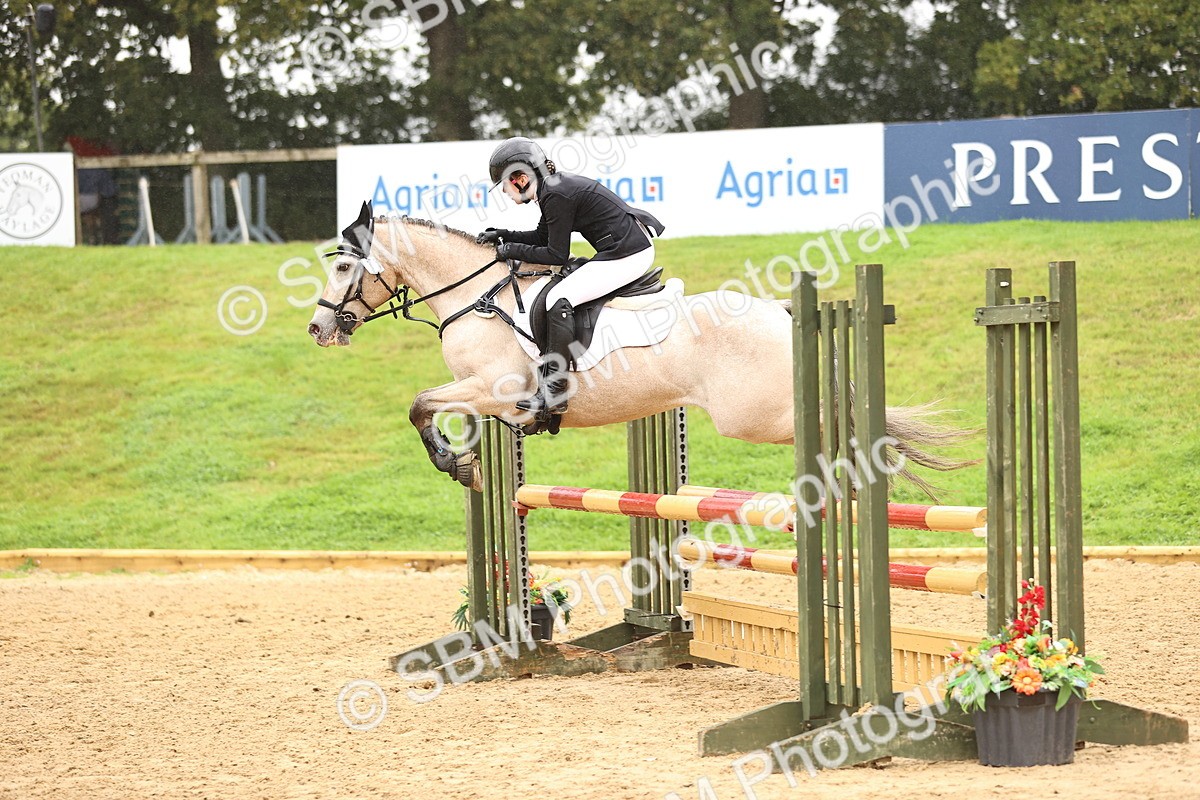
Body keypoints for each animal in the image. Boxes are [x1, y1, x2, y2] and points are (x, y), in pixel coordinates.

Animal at [307, 204, 968, 493]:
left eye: (342, 266)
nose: (318, 330)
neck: (475, 295)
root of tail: (780, 314)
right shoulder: (484, 399)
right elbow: (425, 406)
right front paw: (465, 462)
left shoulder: (497, 391)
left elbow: (419, 404)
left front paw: (458, 466)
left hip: (757, 416)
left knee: (845, 425)